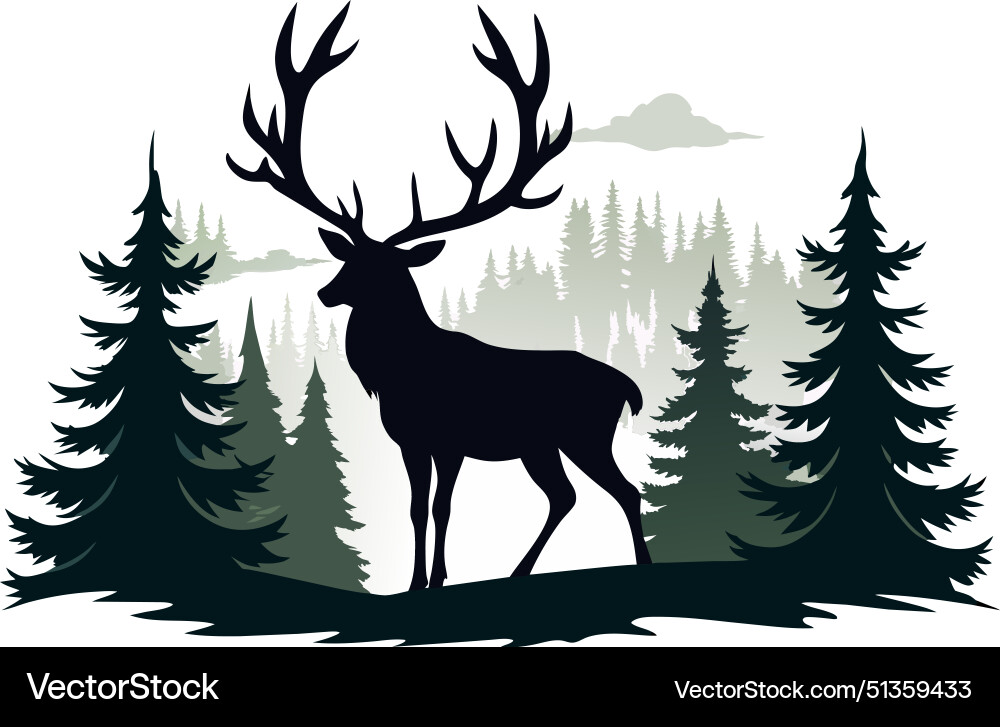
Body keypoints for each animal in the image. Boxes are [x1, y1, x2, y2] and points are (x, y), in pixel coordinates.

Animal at [227, 2, 652, 590]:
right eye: (348, 258)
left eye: (384, 269)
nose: (326, 291)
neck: (398, 374)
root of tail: (628, 387)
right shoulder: (411, 439)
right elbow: (414, 507)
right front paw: (415, 581)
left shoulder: (449, 439)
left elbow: (441, 507)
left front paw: (436, 579)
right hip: (543, 446)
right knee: (564, 496)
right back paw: (518, 570)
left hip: (584, 435)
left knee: (624, 491)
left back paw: (639, 566)